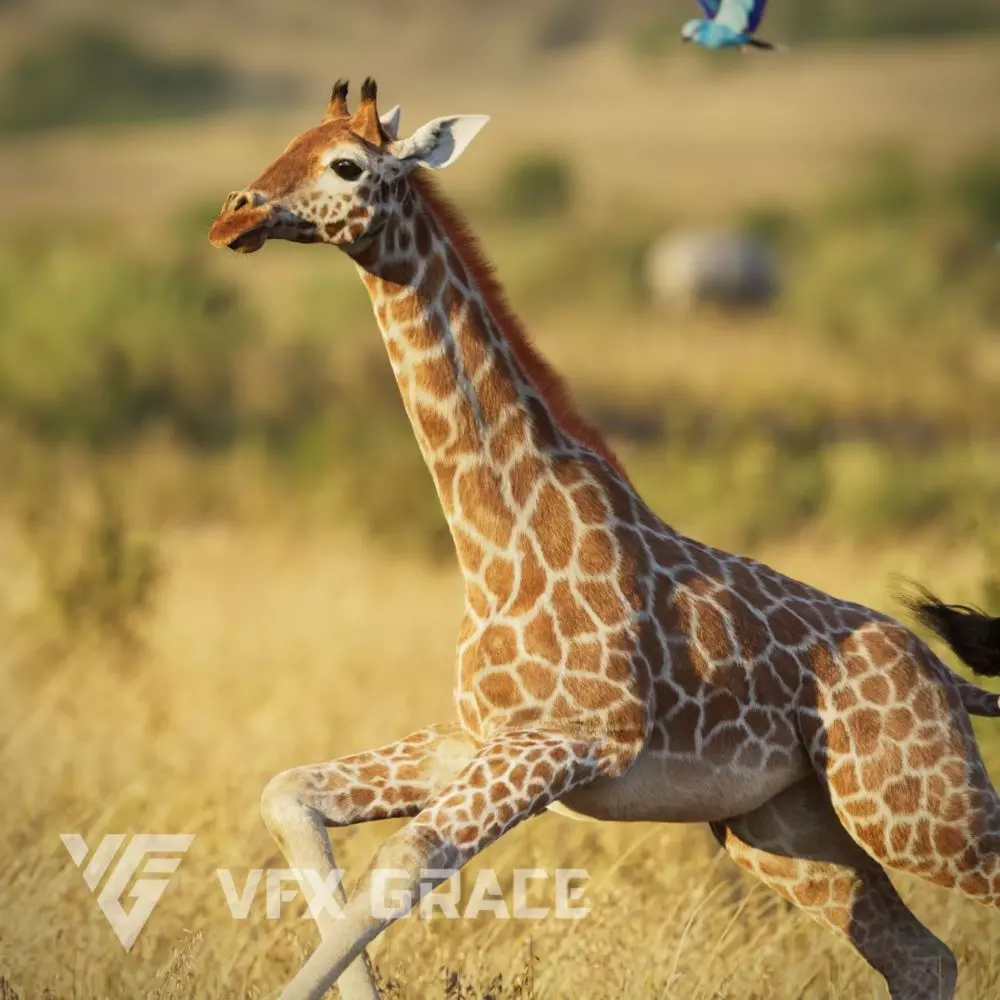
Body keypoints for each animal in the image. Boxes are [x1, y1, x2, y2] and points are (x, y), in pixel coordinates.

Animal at [208, 79, 1000, 1000]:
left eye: (346, 164)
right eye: (290, 140)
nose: (233, 216)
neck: (498, 534)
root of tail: (943, 677)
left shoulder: (567, 741)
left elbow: (403, 863)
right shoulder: (480, 736)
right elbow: (286, 794)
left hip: (913, 807)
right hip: (786, 826)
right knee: (921, 957)